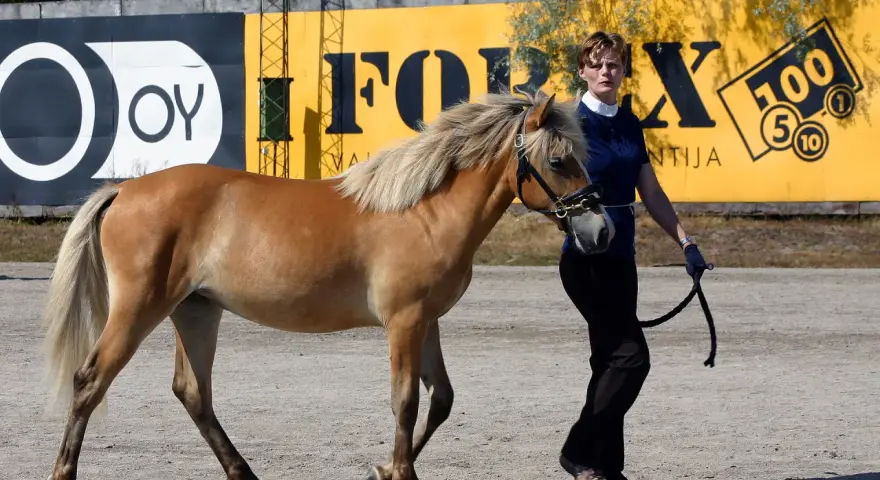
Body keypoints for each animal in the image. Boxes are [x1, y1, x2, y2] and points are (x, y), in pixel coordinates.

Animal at [42, 89, 613, 480]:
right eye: (558, 160)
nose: (601, 229)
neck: (424, 210)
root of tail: (124, 189)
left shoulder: (426, 321)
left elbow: (442, 399)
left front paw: (385, 469)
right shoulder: (404, 322)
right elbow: (405, 400)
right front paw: (399, 471)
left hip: (196, 310)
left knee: (193, 392)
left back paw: (244, 472)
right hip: (139, 309)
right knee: (89, 381)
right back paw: (64, 470)